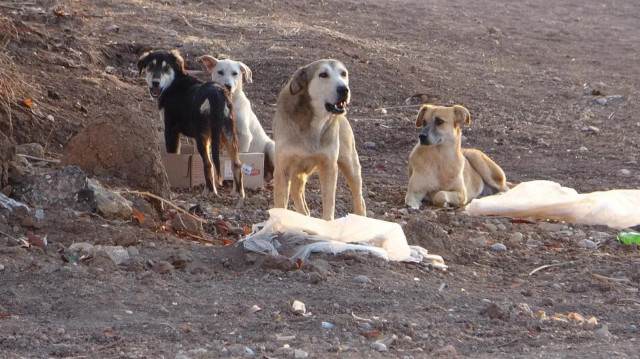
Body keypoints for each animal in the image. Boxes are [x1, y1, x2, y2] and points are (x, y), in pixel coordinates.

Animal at [136, 49, 244, 198]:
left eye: (166, 67)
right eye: (151, 66)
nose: (155, 83)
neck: (174, 82)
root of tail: (217, 94)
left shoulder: (171, 130)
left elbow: (173, 155)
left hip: (204, 136)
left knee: (209, 164)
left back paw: (210, 191)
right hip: (228, 133)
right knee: (237, 163)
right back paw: (238, 193)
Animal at [272, 60, 368, 221]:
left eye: (343, 73)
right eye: (323, 74)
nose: (344, 89)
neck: (313, 123)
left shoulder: (328, 166)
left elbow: (329, 203)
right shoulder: (282, 169)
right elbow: (280, 203)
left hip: (351, 165)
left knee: (359, 199)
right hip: (296, 174)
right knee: (301, 202)